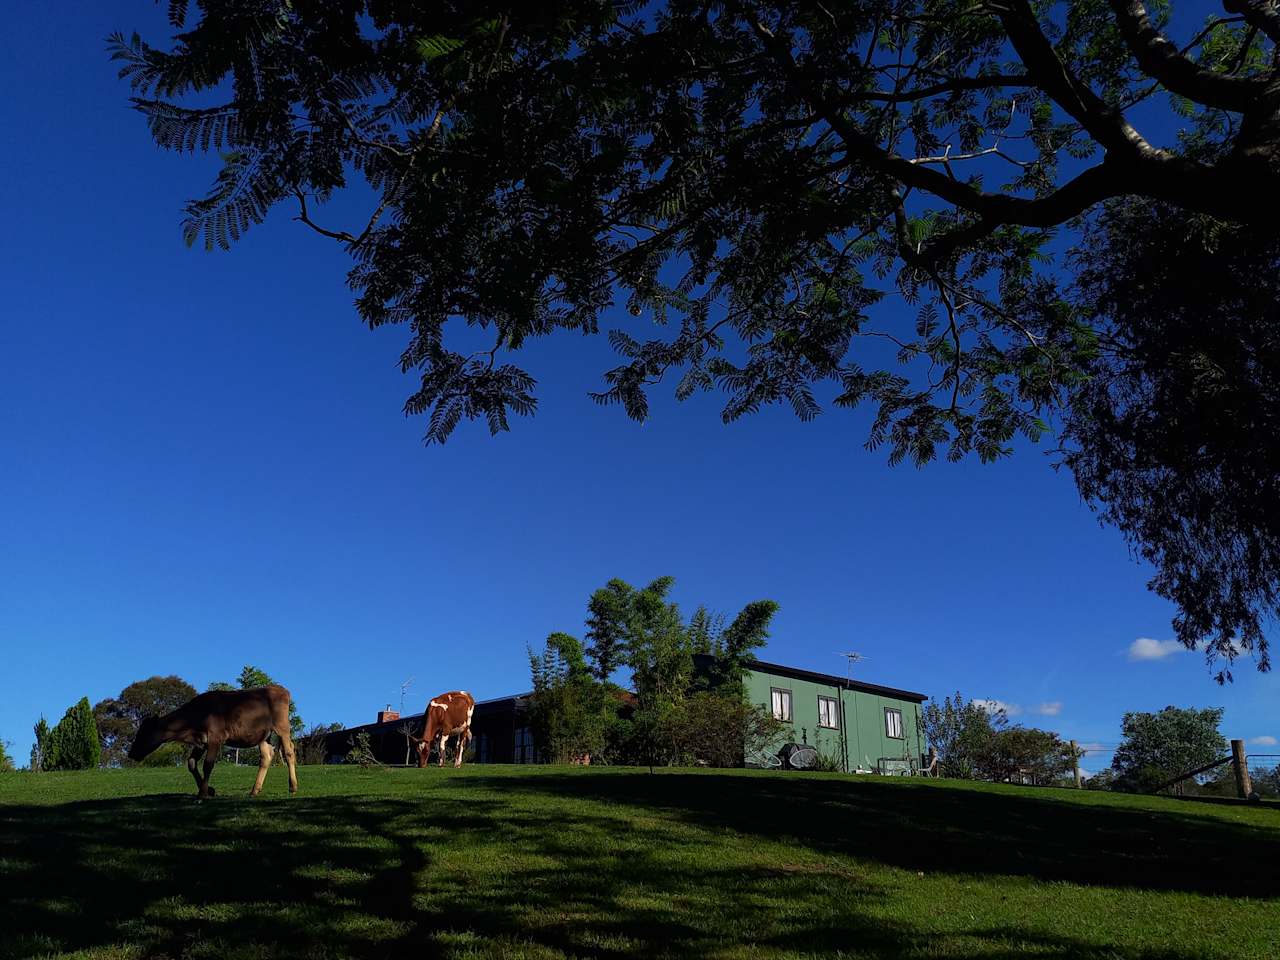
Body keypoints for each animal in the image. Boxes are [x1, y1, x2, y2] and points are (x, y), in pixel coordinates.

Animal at [129, 686, 299, 798]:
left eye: (144, 733)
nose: (131, 754)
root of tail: (280, 689)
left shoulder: (215, 738)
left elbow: (208, 765)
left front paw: (203, 794)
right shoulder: (202, 742)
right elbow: (191, 763)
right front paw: (208, 790)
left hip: (282, 727)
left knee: (289, 752)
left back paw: (292, 786)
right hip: (263, 736)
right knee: (266, 756)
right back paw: (254, 790)